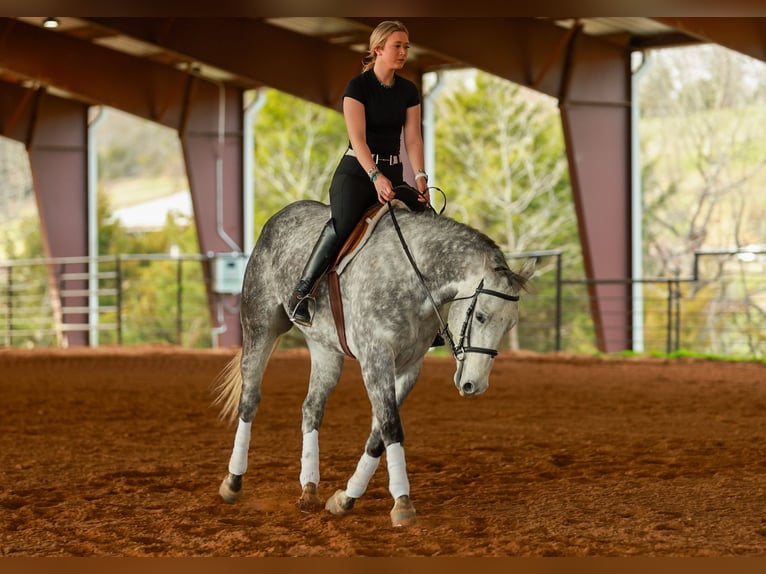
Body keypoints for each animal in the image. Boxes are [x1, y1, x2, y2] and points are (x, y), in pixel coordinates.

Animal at [213, 199, 535, 527]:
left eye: (509, 325)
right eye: (480, 316)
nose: (474, 385)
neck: (410, 274)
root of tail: (281, 216)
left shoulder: (408, 367)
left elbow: (379, 433)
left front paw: (345, 498)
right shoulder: (375, 358)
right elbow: (391, 425)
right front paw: (403, 503)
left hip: (325, 349)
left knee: (311, 409)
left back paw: (309, 489)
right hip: (260, 326)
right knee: (249, 400)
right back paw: (233, 482)